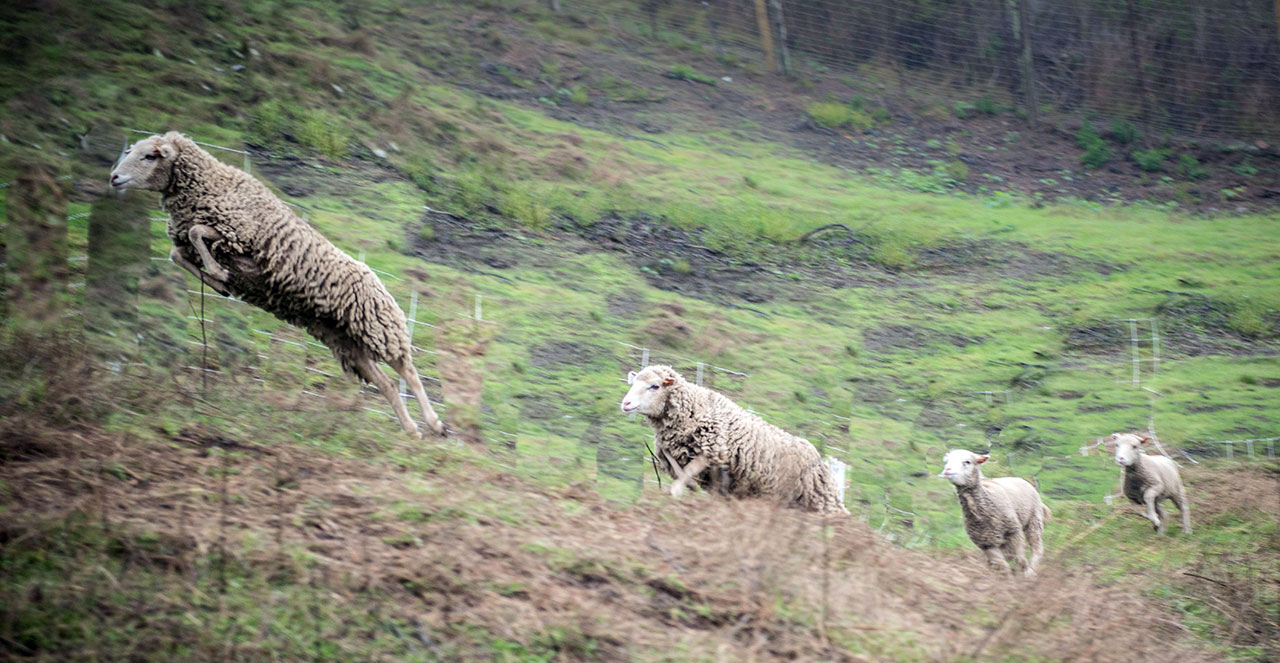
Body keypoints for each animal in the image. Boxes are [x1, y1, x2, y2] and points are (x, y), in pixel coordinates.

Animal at [619, 366, 849, 517]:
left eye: (654, 386)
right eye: (633, 383)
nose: (626, 403)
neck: (694, 409)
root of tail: (821, 461)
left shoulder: (711, 452)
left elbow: (686, 475)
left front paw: (676, 495)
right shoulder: (675, 454)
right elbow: (681, 474)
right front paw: (686, 490)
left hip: (815, 500)